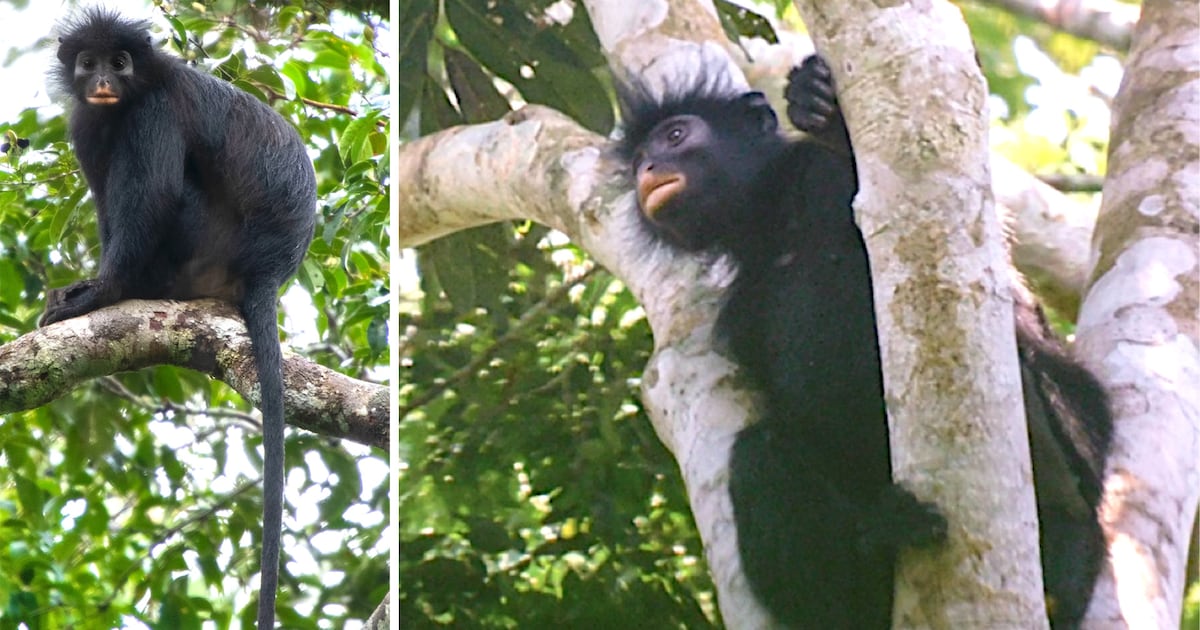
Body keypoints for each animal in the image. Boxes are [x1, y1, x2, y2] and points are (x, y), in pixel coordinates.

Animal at [45, 9, 317, 628]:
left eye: (120, 62)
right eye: (89, 62)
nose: (103, 80)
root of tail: (269, 268)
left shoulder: (154, 110)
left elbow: (153, 195)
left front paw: (102, 293)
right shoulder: (86, 124)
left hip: (203, 241)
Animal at [614, 54, 1112, 629]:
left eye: (675, 135)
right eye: (638, 161)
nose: (649, 169)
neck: (774, 224)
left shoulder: (821, 180)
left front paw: (825, 111)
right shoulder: (741, 310)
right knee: (760, 452)